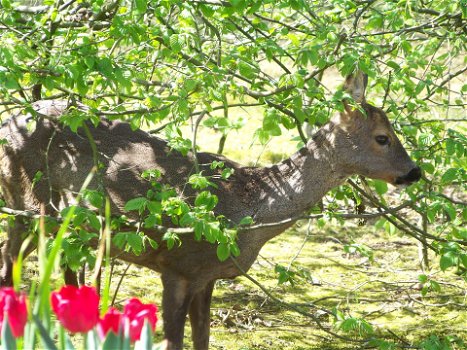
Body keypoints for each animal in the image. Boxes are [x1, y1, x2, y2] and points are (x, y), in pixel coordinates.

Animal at [0, 72, 422, 348]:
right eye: (383, 138)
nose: (414, 171)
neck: (248, 209)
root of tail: (9, 121)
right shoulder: (177, 265)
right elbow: (175, 340)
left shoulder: (207, 276)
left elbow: (202, 336)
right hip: (29, 200)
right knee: (13, 263)